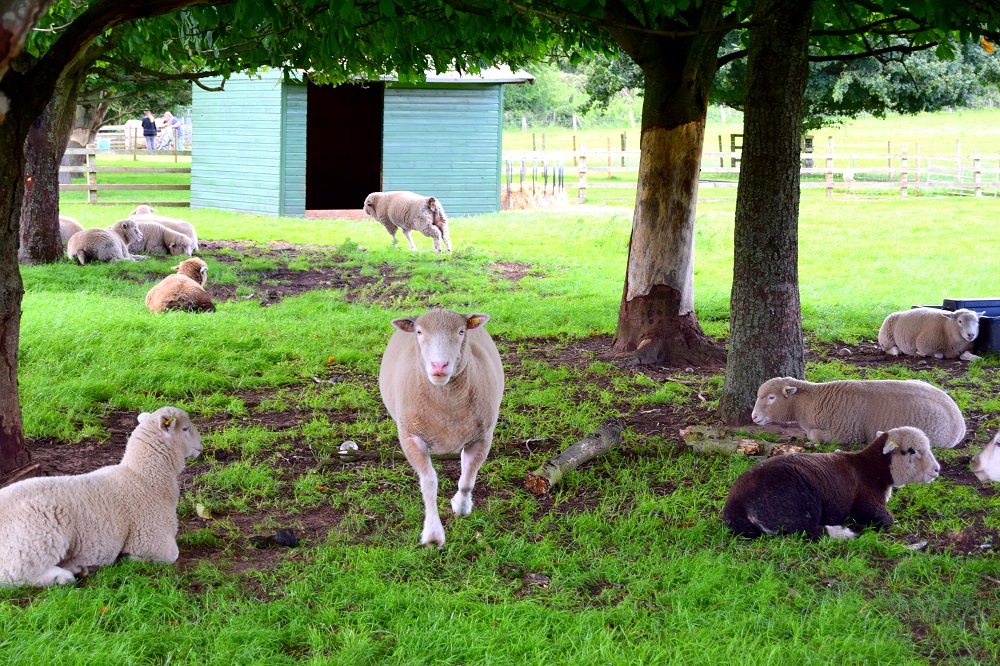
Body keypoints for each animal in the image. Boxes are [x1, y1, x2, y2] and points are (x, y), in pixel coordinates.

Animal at [0, 406, 202, 587]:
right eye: (185, 429)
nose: (201, 445)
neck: (143, 478)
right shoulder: (151, 538)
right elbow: (172, 555)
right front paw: (128, 557)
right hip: (35, 538)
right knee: (13, 574)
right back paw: (62, 577)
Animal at [378, 309, 504, 547]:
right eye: (419, 332)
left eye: (461, 331)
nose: (439, 366)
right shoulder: (411, 436)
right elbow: (429, 483)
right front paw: (433, 534)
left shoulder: (482, 437)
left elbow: (467, 481)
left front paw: (461, 507)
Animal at [722, 427, 940, 540]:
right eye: (911, 451)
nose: (937, 470)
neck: (870, 469)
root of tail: (736, 506)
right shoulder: (867, 504)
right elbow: (887, 520)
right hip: (797, 504)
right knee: (808, 531)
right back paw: (846, 531)